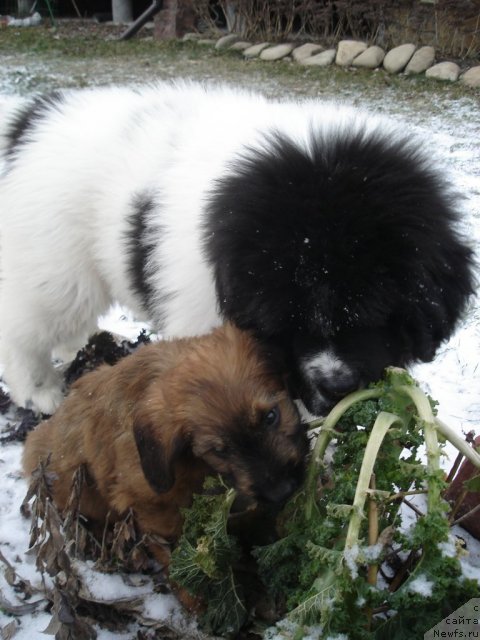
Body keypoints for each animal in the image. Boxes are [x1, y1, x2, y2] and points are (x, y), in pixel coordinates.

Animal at [0, 84, 472, 416]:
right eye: (287, 321)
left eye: (374, 315)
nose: (335, 387)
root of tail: (30, 120)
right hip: (54, 267)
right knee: (24, 330)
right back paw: (39, 392)